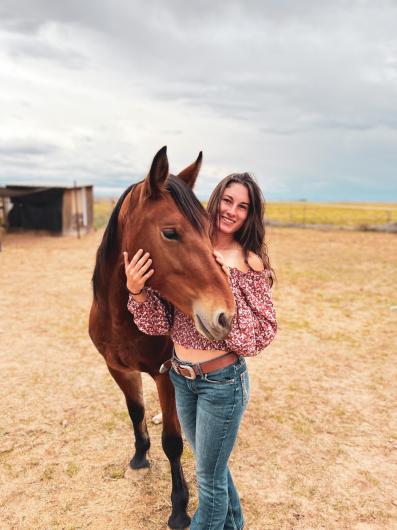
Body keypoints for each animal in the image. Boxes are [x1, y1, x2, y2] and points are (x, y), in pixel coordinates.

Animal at [89, 146, 235, 524]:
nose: (226, 314)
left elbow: (173, 441)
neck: (122, 320)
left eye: (208, 232)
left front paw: (179, 508)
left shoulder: (166, 375)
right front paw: (140, 456)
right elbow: (135, 411)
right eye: (170, 232)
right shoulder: (118, 369)